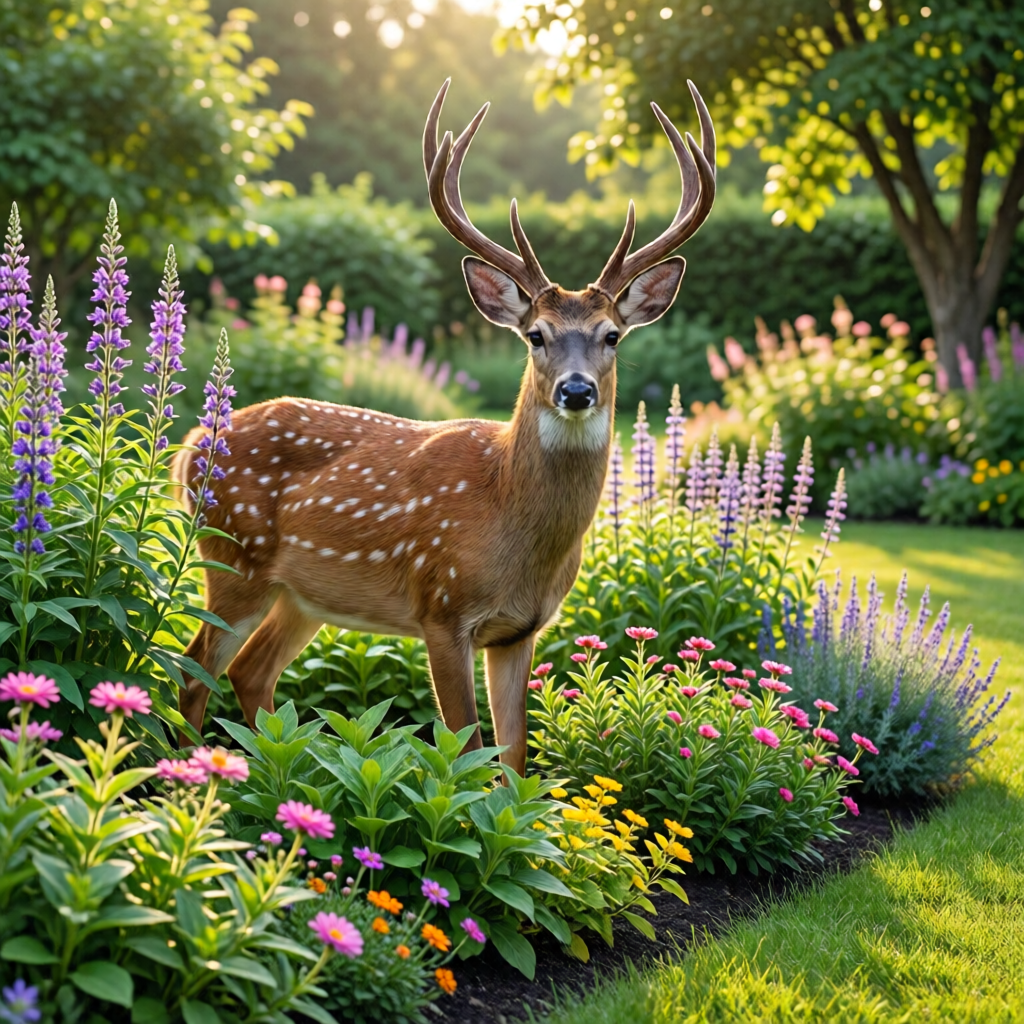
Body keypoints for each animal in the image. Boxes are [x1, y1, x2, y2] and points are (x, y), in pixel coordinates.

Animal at [172, 78, 715, 776]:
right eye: (535, 335)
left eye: (612, 336)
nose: (576, 390)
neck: (510, 520)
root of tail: (189, 445)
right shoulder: (441, 607)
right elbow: (469, 752)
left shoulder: (520, 630)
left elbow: (514, 760)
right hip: (232, 555)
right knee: (191, 670)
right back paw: (188, 778)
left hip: (300, 594)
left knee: (248, 673)